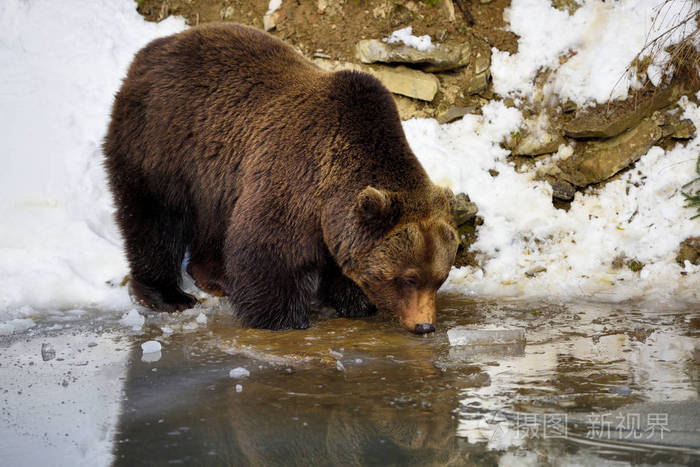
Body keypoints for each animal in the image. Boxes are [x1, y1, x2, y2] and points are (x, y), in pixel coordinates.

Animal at [104, 23, 458, 334]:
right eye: (408, 278)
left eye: (438, 279)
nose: (425, 326)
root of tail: (152, 50)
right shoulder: (296, 175)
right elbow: (269, 248)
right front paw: (284, 319)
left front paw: (355, 301)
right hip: (163, 139)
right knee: (156, 215)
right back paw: (169, 295)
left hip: (215, 177)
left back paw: (216, 277)